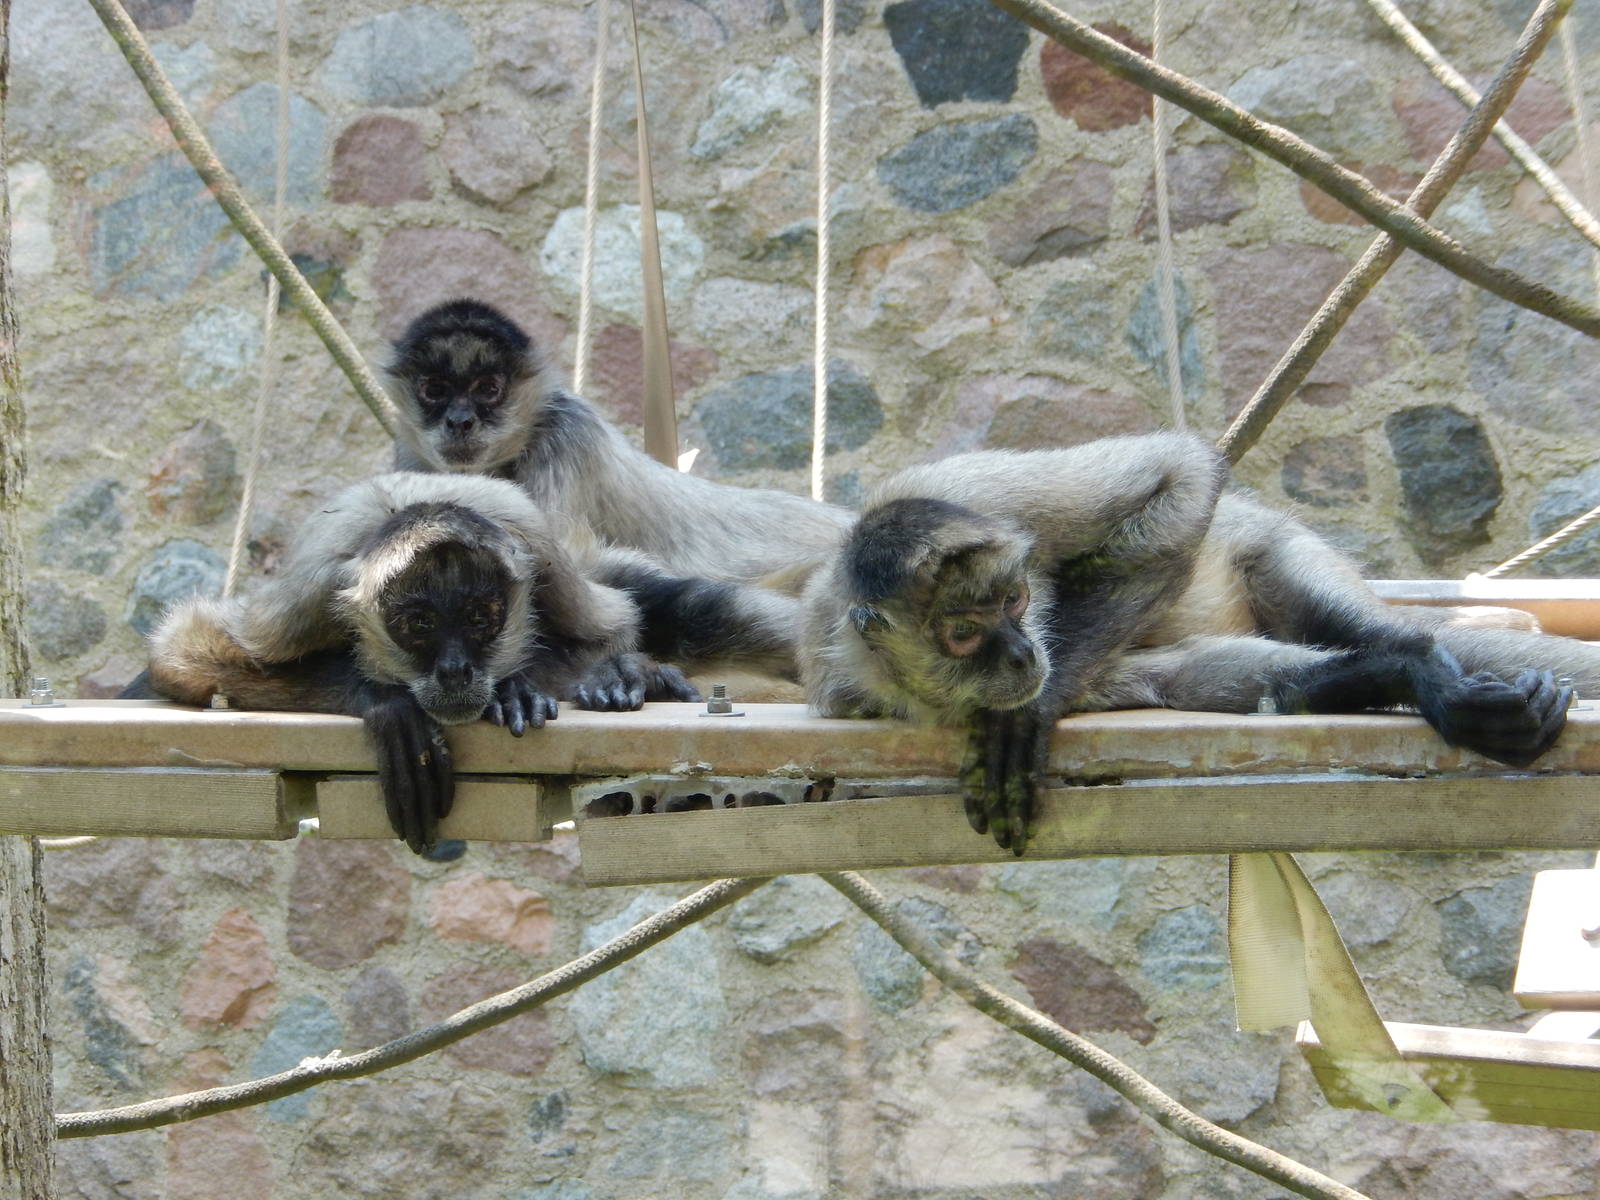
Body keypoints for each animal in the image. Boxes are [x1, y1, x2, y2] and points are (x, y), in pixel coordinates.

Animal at [802, 433, 1589, 854]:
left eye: (1016, 601)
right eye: (964, 634)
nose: (1024, 654)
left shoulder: (966, 492)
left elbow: (1182, 467)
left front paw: (1026, 721)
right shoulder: (837, 686)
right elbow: (1226, 682)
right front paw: (1409, 678)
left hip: (1273, 546)